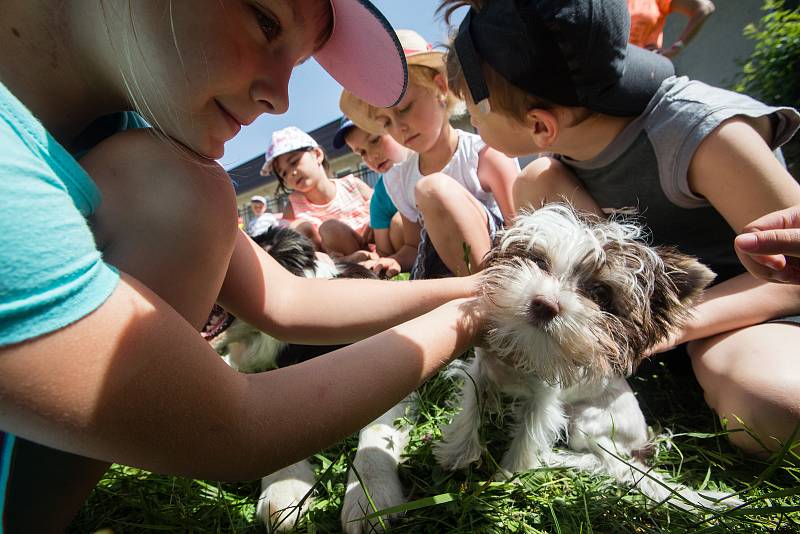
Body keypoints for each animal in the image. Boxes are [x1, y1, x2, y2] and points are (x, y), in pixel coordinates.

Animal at [434, 204, 740, 510]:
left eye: (600, 293)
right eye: (539, 261)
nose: (545, 304)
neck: (527, 347)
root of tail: (642, 439)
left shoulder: (544, 399)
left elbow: (529, 433)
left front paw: (507, 475)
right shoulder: (481, 369)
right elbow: (472, 407)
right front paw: (459, 452)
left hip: (587, 423)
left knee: (608, 463)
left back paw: (558, 459)